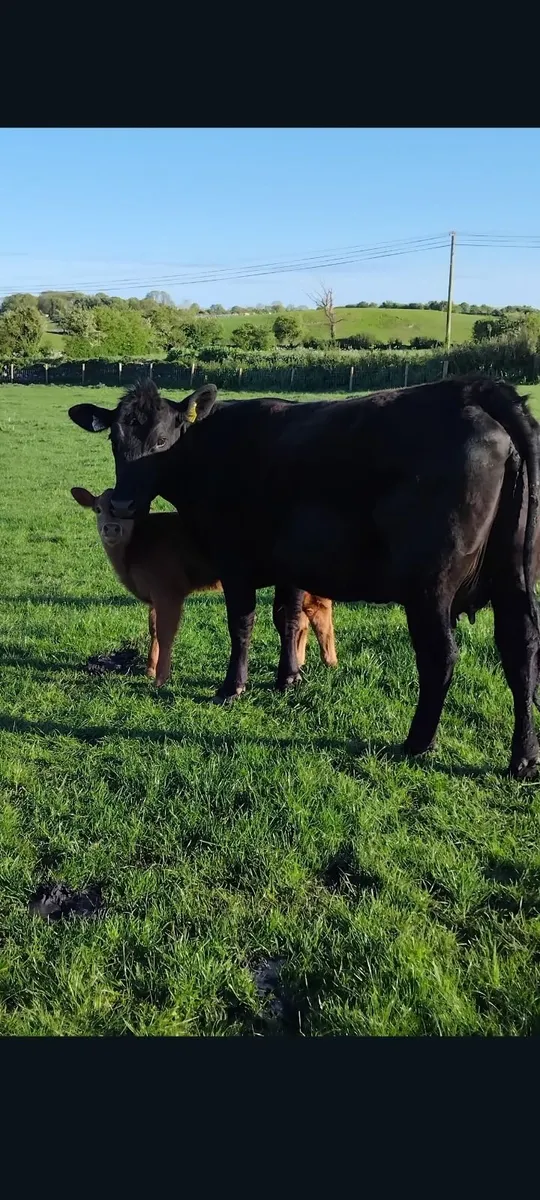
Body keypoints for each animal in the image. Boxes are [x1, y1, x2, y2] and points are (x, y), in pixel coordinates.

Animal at [71, 485, 337, 687]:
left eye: (129, 514)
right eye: (97, 509)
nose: (111, 528)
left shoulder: (168, 592)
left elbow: (166, 633)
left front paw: (160, 679)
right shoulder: (154, 597)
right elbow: (154, 630)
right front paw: (149, 668)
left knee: (315, 614)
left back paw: (328, 660)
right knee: (308, 618)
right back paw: (306, 661)